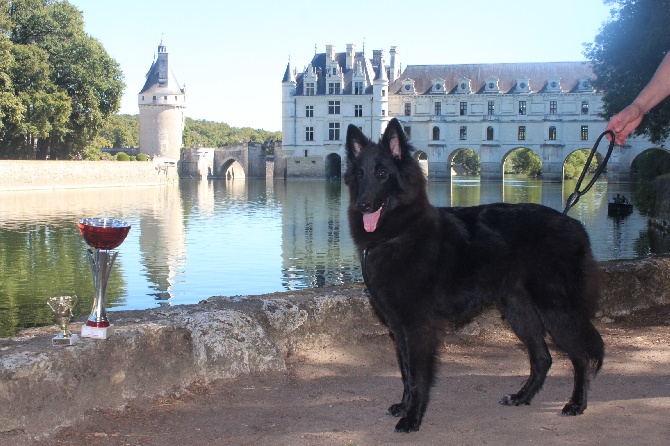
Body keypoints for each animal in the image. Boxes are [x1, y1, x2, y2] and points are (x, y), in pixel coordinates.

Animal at [344, 118, 608, 432]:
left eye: (382, 173)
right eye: (360, 174)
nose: (362, 205)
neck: (399, 232)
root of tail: (576, 225)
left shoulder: (418, 326)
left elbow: (418, 377)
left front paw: (412, 418)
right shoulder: (399, 326)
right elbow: (406, 372)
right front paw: (404, 406)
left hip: (557, 311)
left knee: (580, 356)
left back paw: (576, 404)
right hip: (520, 311)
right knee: (543, 358)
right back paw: (521, 397)